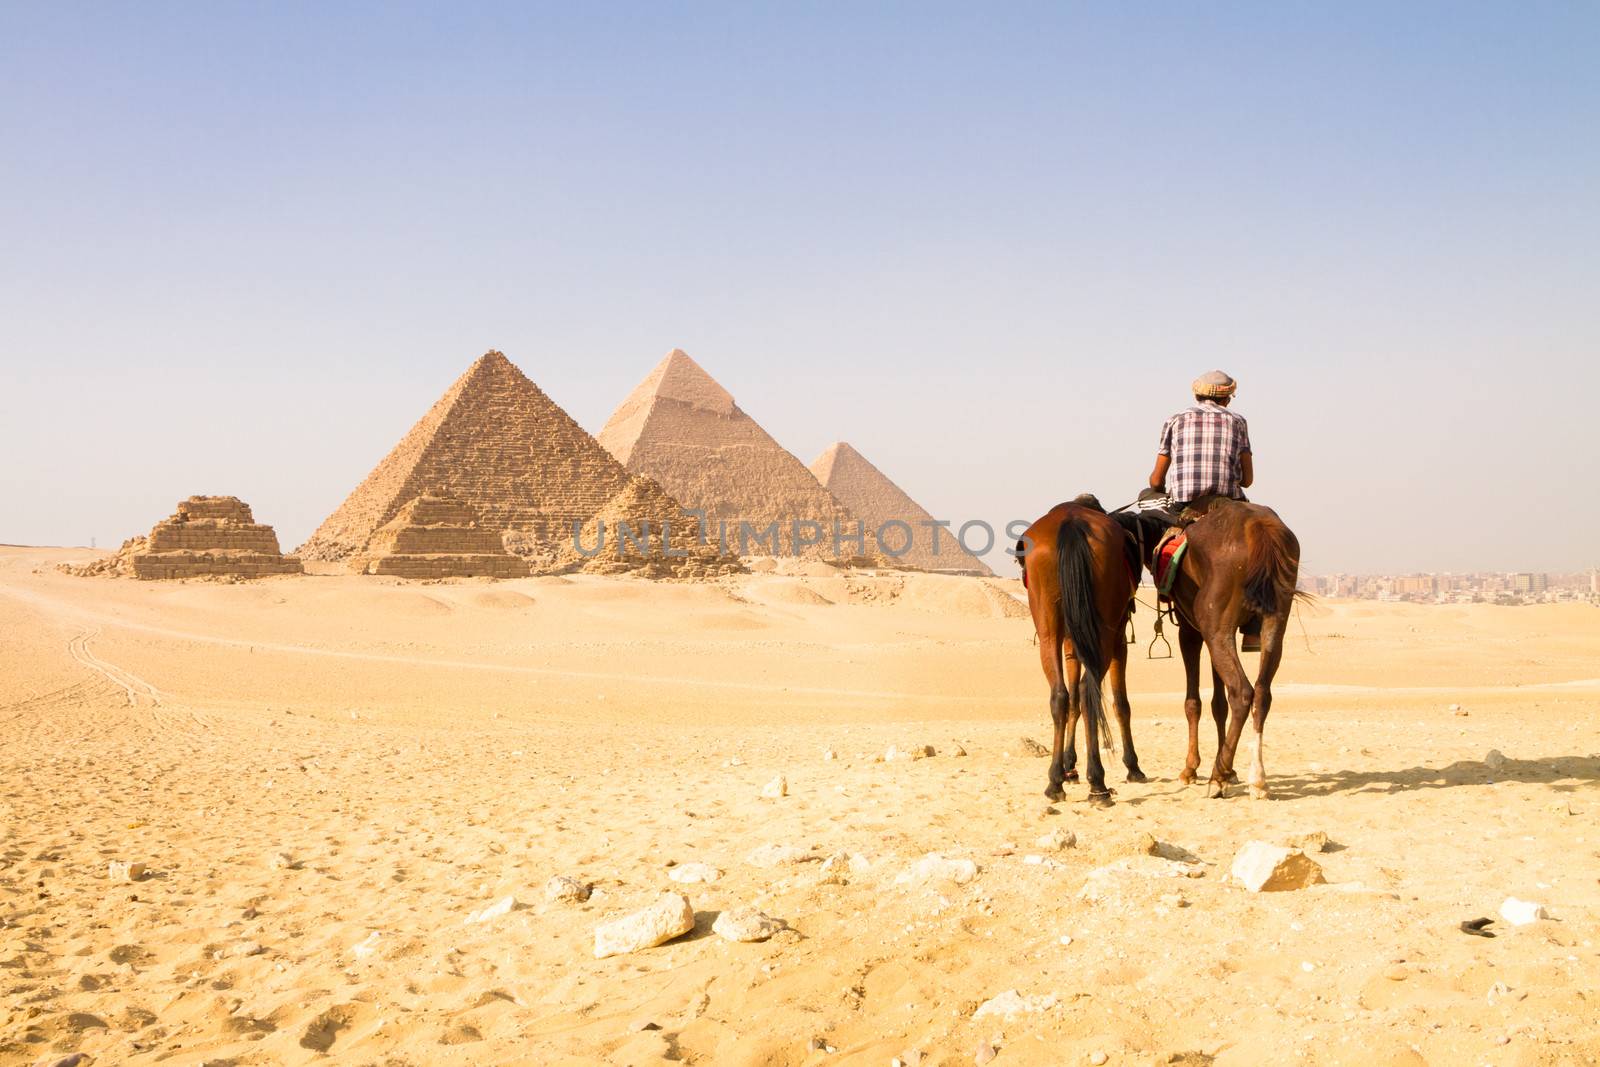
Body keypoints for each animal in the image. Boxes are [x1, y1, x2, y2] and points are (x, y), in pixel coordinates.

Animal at [1017, 502, 1145, 809]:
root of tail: (1071, 522)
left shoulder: (1070, 643)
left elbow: (1072, 700)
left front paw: (1068, 765)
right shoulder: (1119, 638)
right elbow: (1121, 703)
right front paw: (1133, 766)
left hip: (1050, 627)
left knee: (1061, 695)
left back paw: (1055, 782)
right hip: (1105, 632)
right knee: (1089, 690)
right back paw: (1097, 783)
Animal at [1113, 502, 1299, 799]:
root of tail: (1259, 530)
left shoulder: (1191, 631)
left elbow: (1194, 702)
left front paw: (1191, 769)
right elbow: (1217, 703)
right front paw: (1230, 770)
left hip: (1214, 624)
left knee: (1241, 692)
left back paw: (1217, 779)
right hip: (1274, 620)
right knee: (1262, 692)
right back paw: (1256, 779)